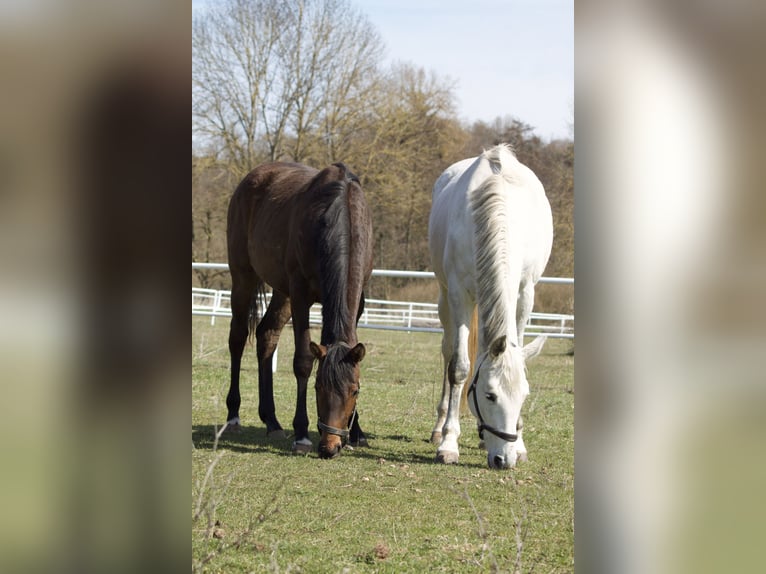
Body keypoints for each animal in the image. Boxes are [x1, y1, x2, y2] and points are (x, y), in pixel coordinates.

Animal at [225, 161, 373, 459]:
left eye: (354, 391)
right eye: (318, 387)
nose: (330, 447)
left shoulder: (358, 299)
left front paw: (358, 432)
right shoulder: (301, 296)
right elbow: (303, 361)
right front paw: (302, 434)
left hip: (282, 292)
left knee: (267, 335)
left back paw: (271, 421)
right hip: (243, 276)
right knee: (237, 338)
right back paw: (233, 416)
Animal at [428, 144, 553, 469]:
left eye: (524, 397)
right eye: (490, 395)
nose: (503, 460)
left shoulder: (525, 293)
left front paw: (519, 444)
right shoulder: (459, 293)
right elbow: (459, 368)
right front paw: (448, 443)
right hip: (444, 298)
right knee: (448, 353)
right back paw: (439, 428)